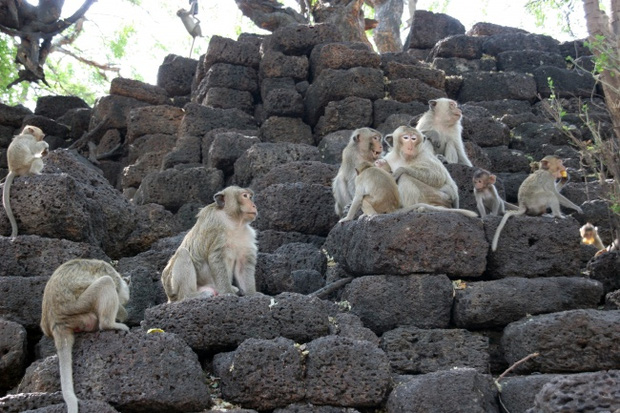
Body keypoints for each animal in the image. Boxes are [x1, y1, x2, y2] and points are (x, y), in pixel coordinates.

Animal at [40, 258, 130, 412]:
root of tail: (57, 322)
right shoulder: (111, 273)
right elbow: (111, 284)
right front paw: (124, 314)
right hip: (81, 307)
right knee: (105, 282)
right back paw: (109, 324)